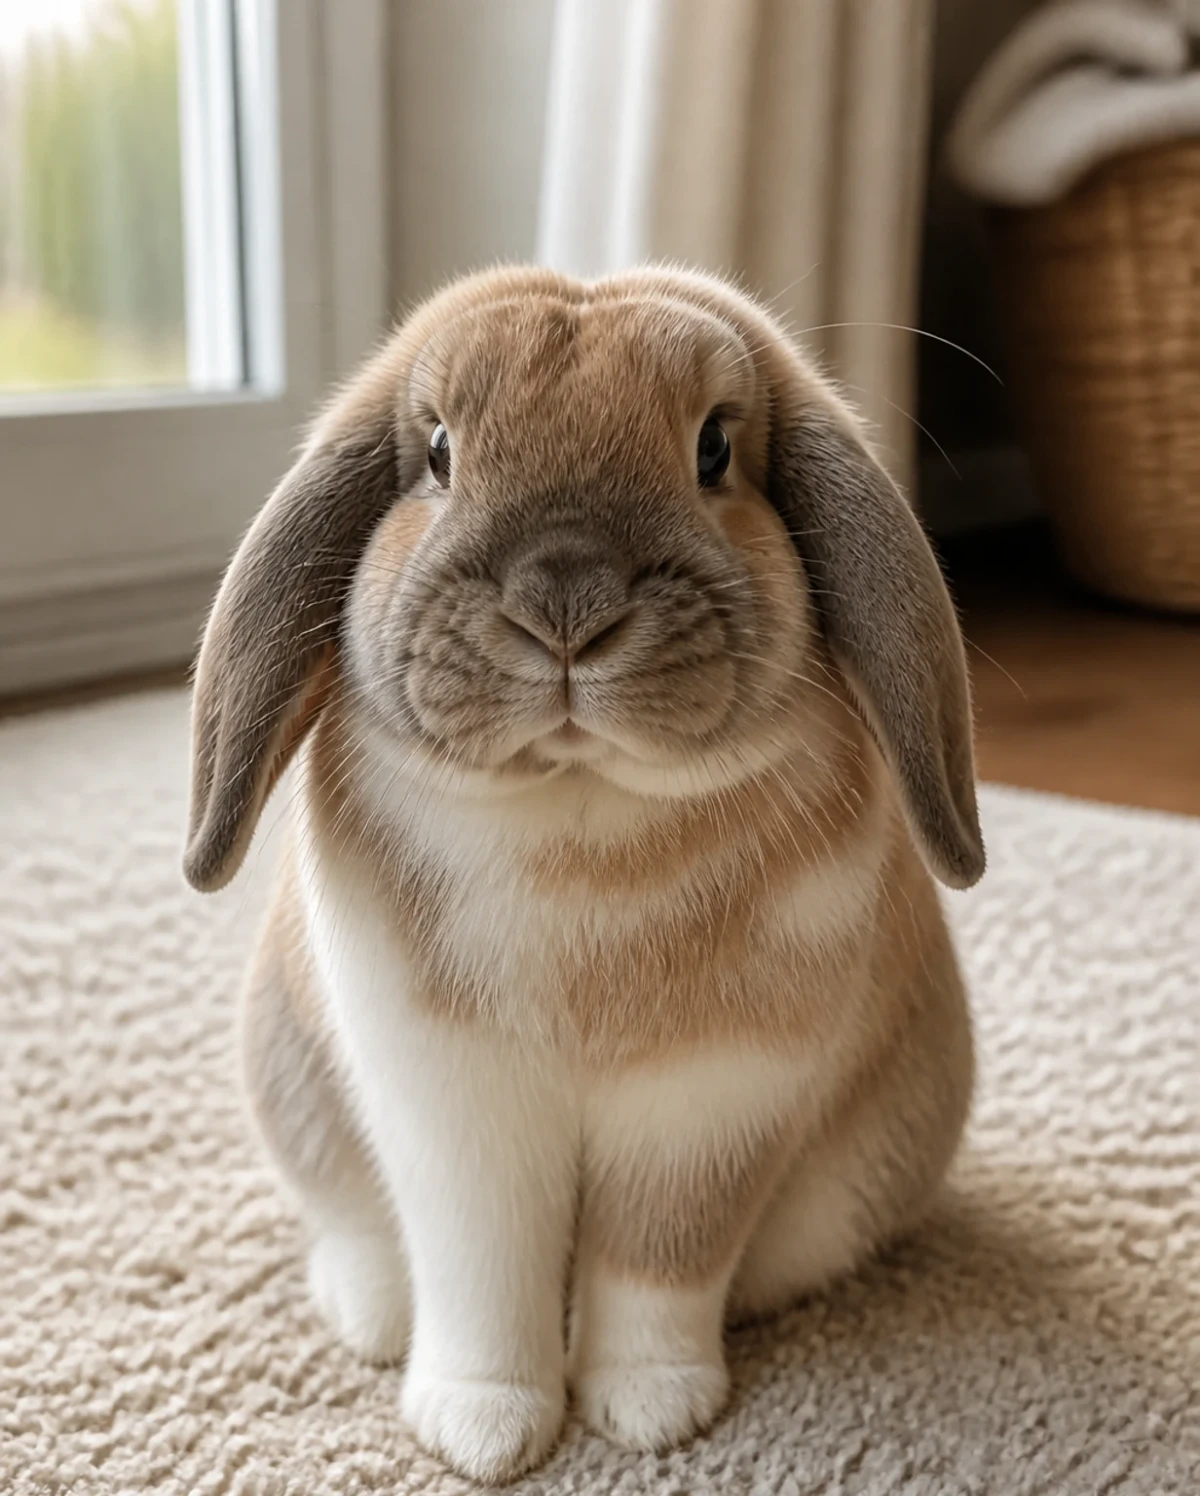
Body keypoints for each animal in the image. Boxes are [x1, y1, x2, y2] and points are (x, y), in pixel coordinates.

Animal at [184, 264, 984, 1484]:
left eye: (714, 448)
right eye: (438, 452)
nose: (565, 600)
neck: (580, 811)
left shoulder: (709, 1111)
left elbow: (657, 1266)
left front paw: (649, 1411)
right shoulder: (453, 1111)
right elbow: (484, 1269)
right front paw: (482, 1430)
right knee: (364, 1238)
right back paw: (371, 1314)